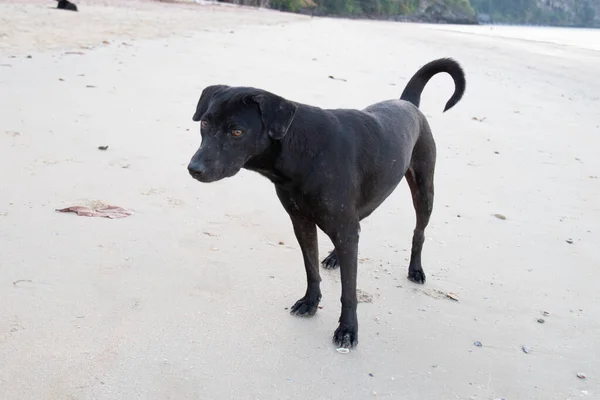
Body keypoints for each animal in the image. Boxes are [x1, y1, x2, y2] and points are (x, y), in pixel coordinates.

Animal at [188, 57, 464, 348]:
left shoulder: (343, 227)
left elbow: (349, 291)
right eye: (204, 123)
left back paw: (415, 269)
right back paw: (334, 257)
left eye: (237, 131)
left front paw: (347, 329)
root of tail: (407, 103)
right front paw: (310, 302)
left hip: (424, 190)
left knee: (418, 231)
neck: (299, 150)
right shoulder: (303, 223)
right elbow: (311, 269)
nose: (194, 169)